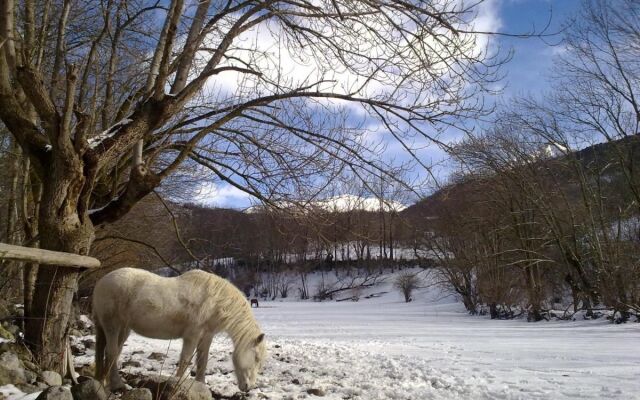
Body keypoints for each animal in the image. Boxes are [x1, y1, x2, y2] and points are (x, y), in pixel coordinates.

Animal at [91, 268, 266, 392]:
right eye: (256, 358)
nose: (249, 387)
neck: (215, 301)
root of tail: (101, 282)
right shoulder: (192, 335)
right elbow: (186, 359)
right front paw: (177, 384)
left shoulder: (206, 336)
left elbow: (202, 361)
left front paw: (201, 385)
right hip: (112, 326)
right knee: (112, 352)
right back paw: (117, 385)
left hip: (123, 329)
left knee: (112, 352)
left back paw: (105, 381)